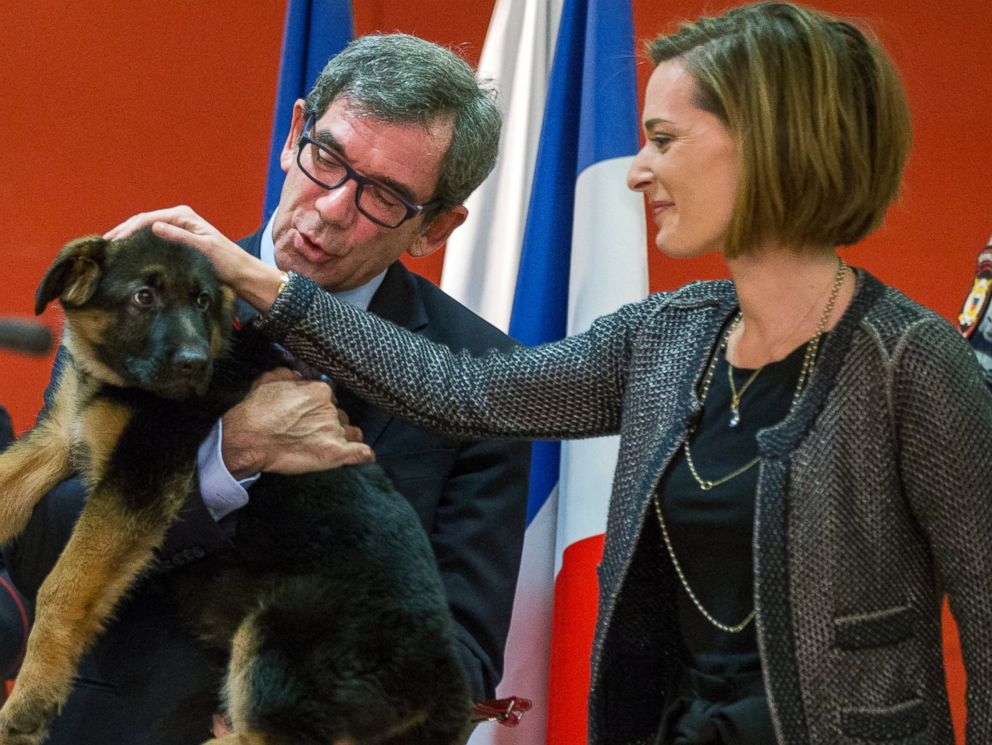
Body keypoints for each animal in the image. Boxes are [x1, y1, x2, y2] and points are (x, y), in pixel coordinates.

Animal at [0, 230, 470, 740]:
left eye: (203, 302)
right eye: (144, 297)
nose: (193, 364)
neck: (117, 382)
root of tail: (447, 679)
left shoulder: (138, 477)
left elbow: (62, 587)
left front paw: (30, 700)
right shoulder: (60, 437)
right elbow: (8, 480)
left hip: (282, 635)